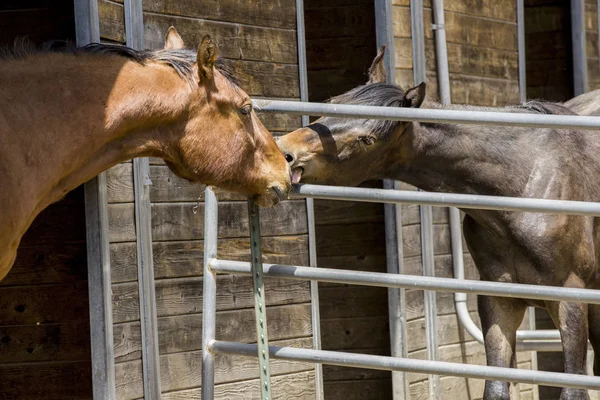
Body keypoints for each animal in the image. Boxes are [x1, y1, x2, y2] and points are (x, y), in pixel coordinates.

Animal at [278, 47, 600, 400]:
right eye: (331, 103)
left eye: (367, 139)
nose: (285, 152)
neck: (524, 183)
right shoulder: (499, 299)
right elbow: (496, 386)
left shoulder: (570, 300)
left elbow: (574, 389)